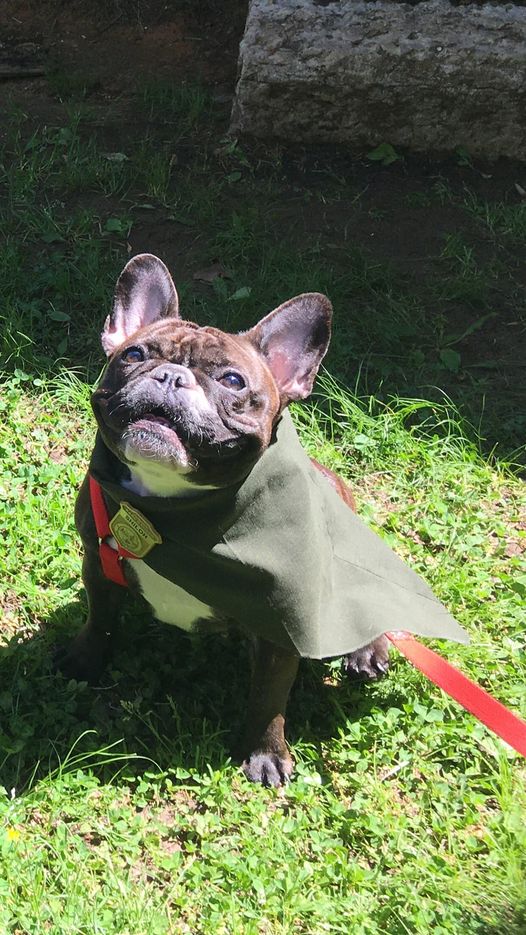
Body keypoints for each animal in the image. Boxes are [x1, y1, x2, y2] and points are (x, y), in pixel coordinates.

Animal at [58, 252, 466, 788]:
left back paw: (366, 652)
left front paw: (265, 753)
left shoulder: (282, 624)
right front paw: (83, 661)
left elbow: (269, 698)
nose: (169, 377)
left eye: (232, 381)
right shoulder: (97, 562)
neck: (174, 512)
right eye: (134, 354)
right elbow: (100, 620)